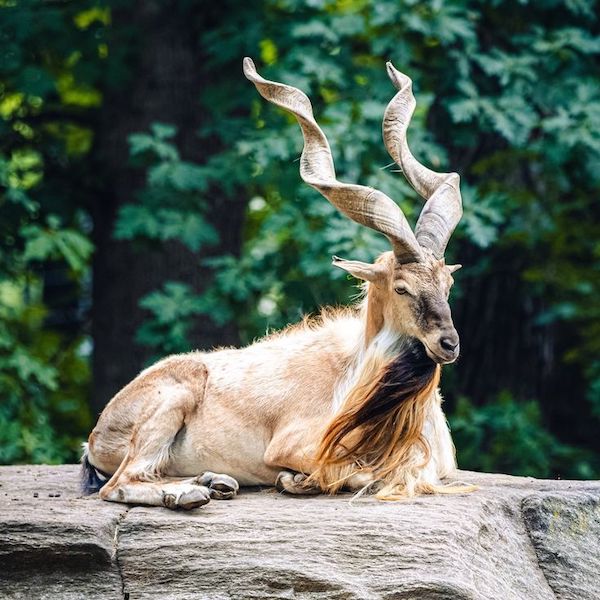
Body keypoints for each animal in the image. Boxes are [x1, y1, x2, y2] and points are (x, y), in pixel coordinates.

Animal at [83, 57, 468, 510]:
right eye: (401, 287)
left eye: (447, 284)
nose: (448, 343)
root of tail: (97, 434)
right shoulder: (297, 445)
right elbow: (356, 474)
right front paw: (296, 480)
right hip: (171, 400)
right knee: (120, 482)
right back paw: (189, 493)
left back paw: (216, 481)